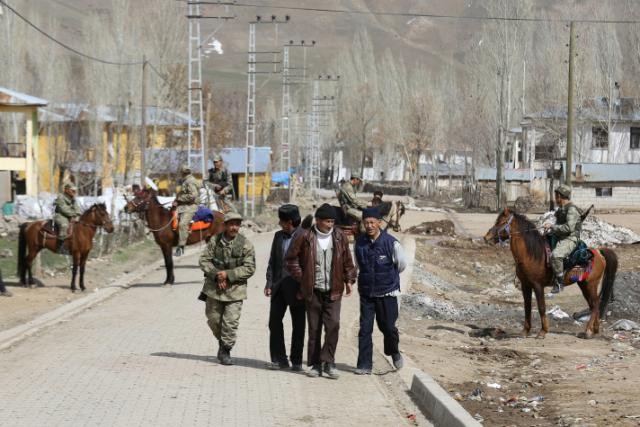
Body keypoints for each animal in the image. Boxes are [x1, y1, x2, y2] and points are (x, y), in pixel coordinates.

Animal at [488, 209, 616, 340]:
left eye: (501, 222)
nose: (486, 237)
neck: (531, 254)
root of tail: (599, 252)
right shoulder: (525, 285)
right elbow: (527, 307)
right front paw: (525, 331)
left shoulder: (538, 285)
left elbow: (541, 307)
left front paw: (543, 331)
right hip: (584, 285)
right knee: (593, 305)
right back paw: (595, 330)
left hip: (591, 284)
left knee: (595, 305)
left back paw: (588, 331)